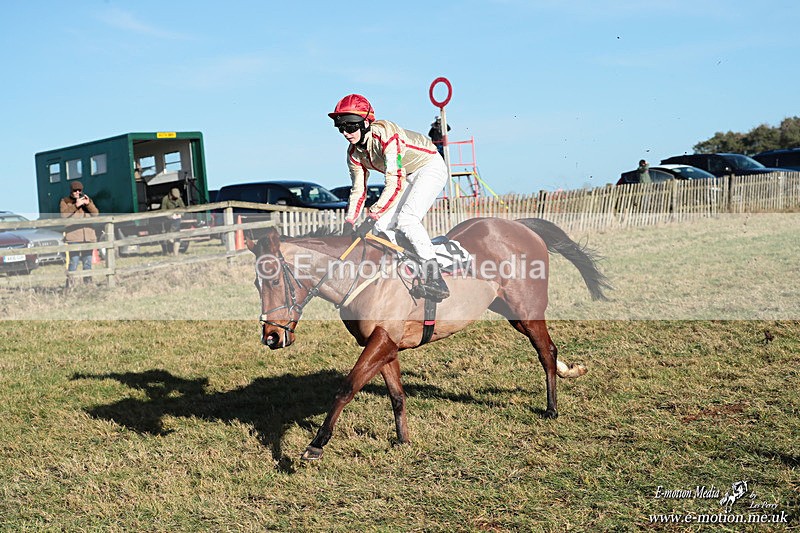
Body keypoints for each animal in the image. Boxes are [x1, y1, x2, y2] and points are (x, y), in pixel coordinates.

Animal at [248, 217, 610, 460]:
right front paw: (403, 439)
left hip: (528, 310)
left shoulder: (381, 341)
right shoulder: (386, 345)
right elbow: (397, 395)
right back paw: (570, 370)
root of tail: (520, 226)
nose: (271, 336)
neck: (360, 274)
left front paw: (316, 444)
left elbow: (346, 388)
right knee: (550, 349)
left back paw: (551, 408)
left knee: (546, 351)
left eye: (275, 280)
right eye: (256, 284)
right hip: (512, 313)